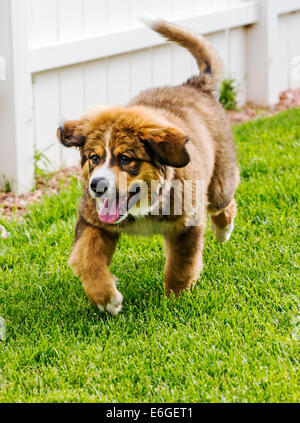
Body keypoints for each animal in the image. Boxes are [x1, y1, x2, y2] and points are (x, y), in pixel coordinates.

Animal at [56, 17, 239, 314]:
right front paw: (106, 299)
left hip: (220, 181)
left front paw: (175, 300)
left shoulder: (187, 224)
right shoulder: (92, 220)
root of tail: (194, 85)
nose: (96, 186)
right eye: (94, 158)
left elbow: (181, 265)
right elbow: (86, 257)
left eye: (125, 159)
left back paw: (223, 231)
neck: (142, 209)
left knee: (223, 203)